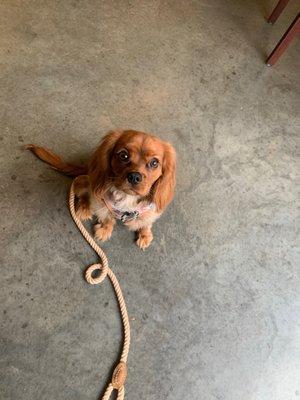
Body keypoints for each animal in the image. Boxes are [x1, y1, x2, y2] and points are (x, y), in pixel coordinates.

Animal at [27, 130, 177, 248]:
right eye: (123, 155)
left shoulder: (150, 209)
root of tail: (88, 167)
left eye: (154, 163)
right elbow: (108, 219)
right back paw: (84, 209)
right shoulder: (104, 205)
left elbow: (146, 223)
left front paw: (145, 235)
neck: (127, 199)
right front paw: (105, 230)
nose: (134, 176)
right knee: (83, 195)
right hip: (86, 182)